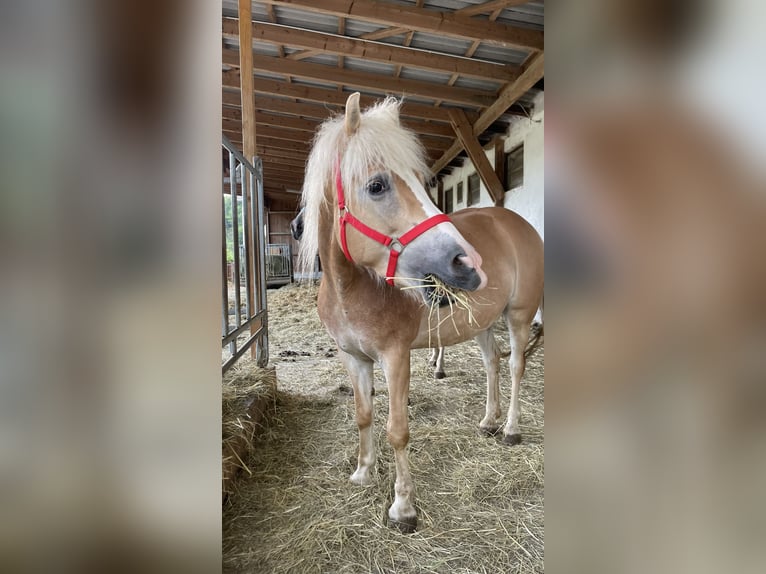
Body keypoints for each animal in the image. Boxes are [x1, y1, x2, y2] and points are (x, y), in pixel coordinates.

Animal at [300, 92, 544, 532]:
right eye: (376, 185)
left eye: (422, 182)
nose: (468, 262)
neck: (351, 288)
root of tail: (516, 222)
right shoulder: (352, 357)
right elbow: (363, 414)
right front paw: (363, 471)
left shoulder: (395, 358)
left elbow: (397, 430)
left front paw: (403, 507)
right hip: (482, 321)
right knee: (492, 363)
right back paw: (489, 420)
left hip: (518, 315)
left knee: (516, 366)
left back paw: (511, 429)